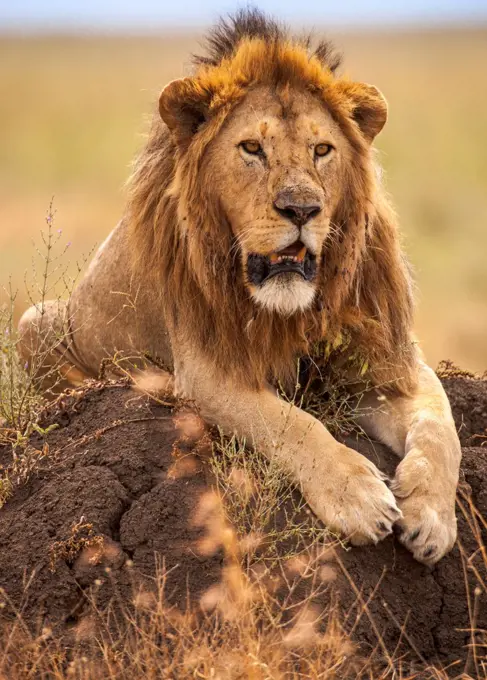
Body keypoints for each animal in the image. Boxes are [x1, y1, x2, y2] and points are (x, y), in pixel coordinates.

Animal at [18, 9, 462, 564]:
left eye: (322, 150)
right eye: (252, 148)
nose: (302, 209)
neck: (293, 310)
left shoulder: (385, 359)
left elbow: (441, 426)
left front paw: (433, 517)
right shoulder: (207, 370)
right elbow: (292, 423)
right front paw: (357, 496)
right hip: (32, 322)